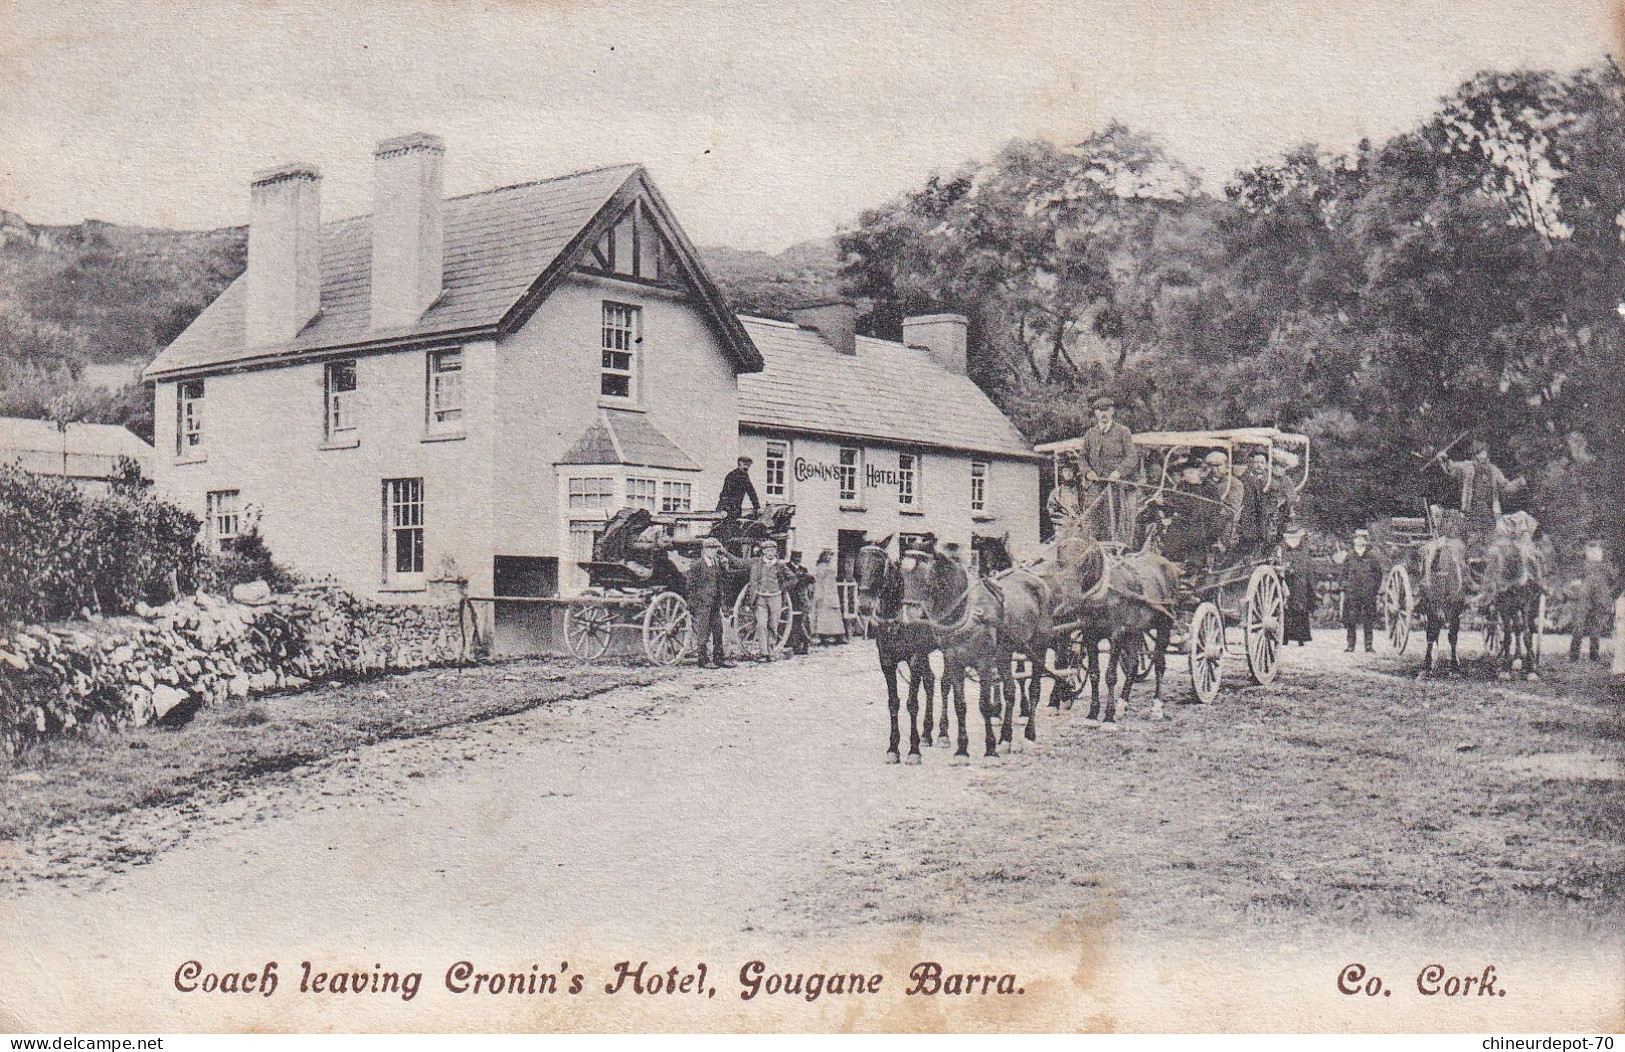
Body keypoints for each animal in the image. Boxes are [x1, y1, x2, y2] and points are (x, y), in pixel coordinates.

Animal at [851, 539, 942, 760]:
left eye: (879, 566)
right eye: (857, 566)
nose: (864, 606)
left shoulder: (914, 658)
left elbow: (912, 703)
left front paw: (913, 750)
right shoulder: (887, 661)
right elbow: (893, 702)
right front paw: (893, 748)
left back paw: (944, 734)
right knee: (931, 681)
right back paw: (927, 733)